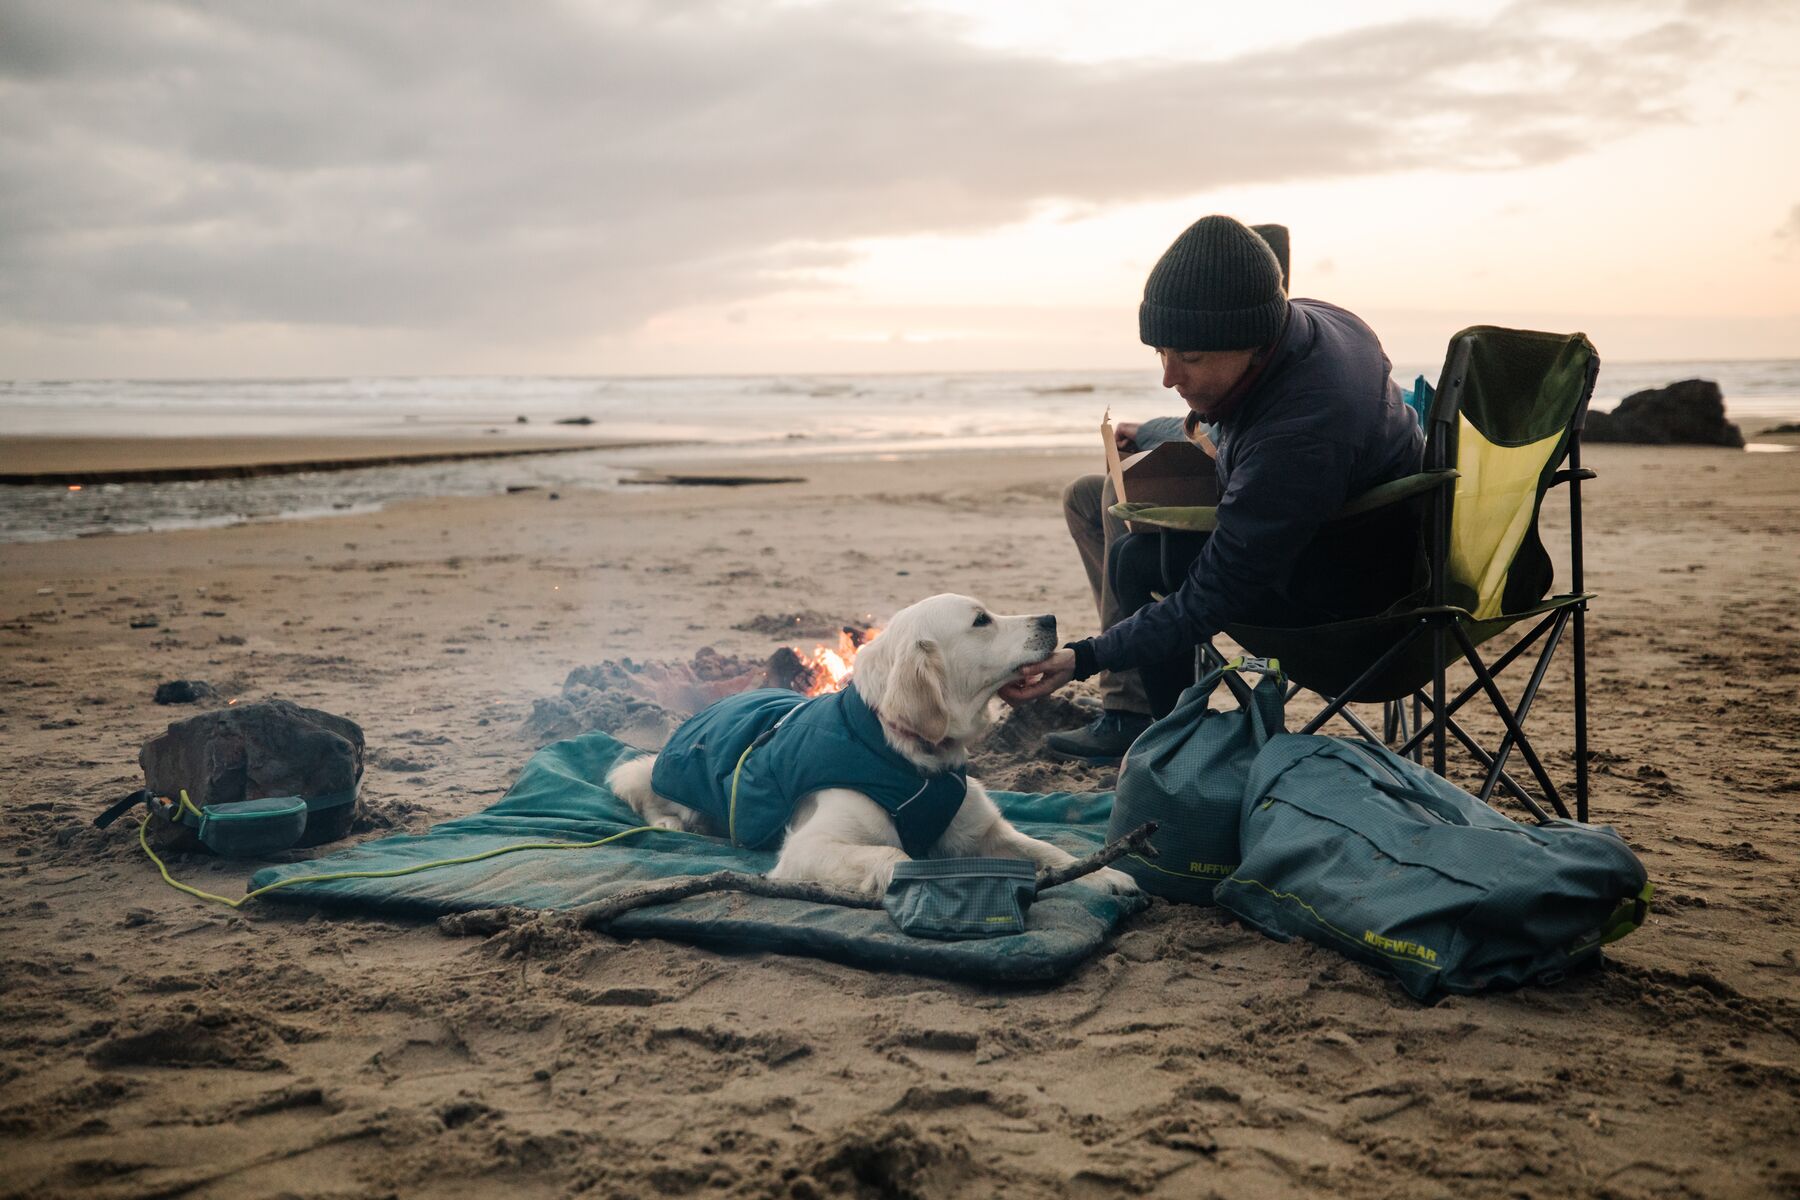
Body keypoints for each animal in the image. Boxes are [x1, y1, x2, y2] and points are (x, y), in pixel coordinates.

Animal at [612, 597, 1130, 895]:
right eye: (981, 620)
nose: (1051, 618)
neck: (905, 756)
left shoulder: (981, 832)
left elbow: (1050, 851)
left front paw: (1108, 875)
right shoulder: (809, 847)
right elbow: (894, 857)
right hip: (667, 774)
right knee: (639, 788)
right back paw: (672, 823)